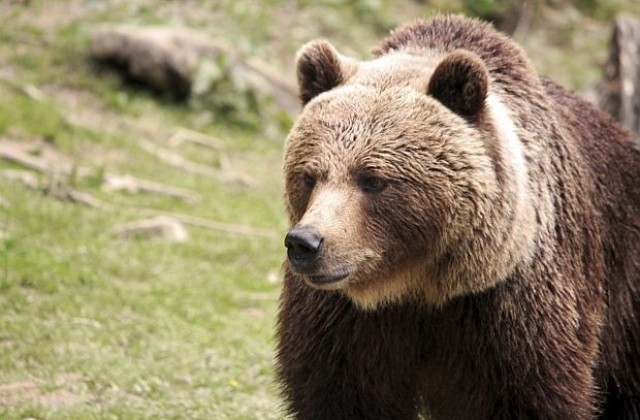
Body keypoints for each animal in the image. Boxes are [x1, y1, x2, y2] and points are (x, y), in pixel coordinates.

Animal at [276, 13, 640, 420]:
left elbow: (529, 398)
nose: (306, 243)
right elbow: (343, 395)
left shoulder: (510, 311)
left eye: (373, 180)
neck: (417, 287)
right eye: (309, 175)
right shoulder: (344, 323)